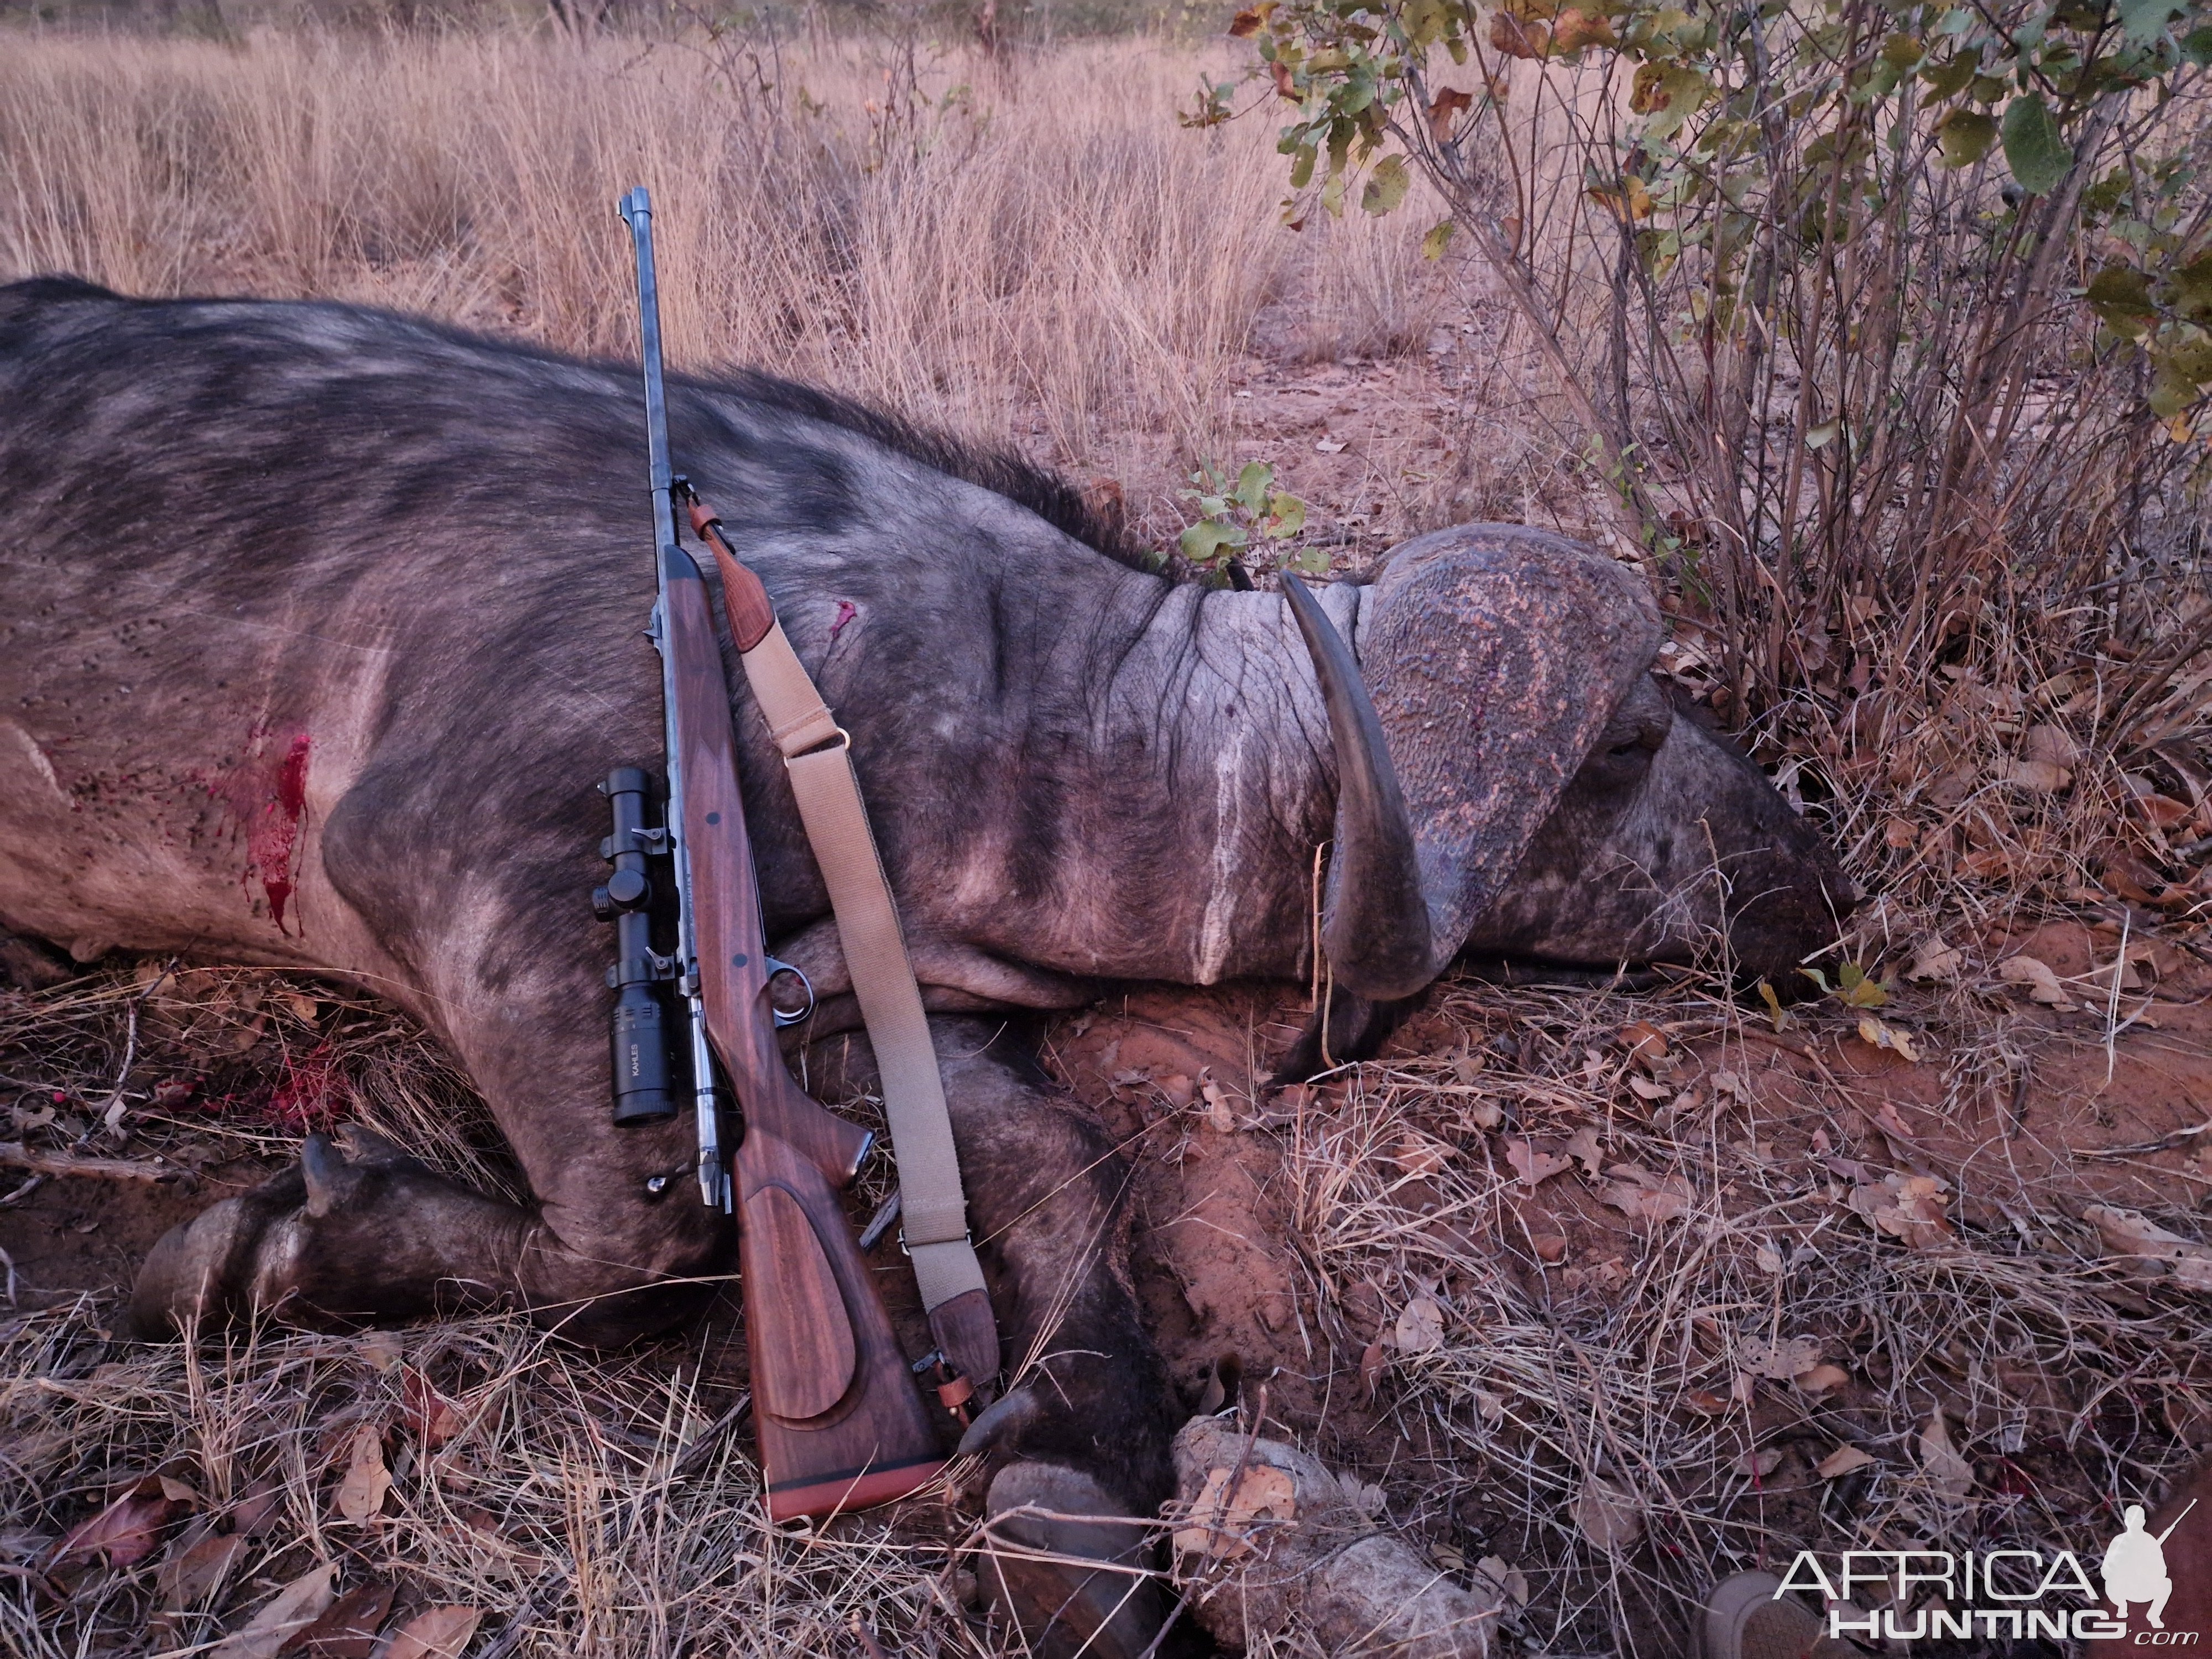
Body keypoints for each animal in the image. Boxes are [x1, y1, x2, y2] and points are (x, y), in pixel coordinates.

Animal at [0, 280, 1849, 1655]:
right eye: (1629, 741)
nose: (1815, 884)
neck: (977, 683)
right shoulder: (440, 858)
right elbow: (630, 1242)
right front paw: (244, 1256)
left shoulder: (862, 1009)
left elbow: (1058, 1161)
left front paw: (1069, 1462)